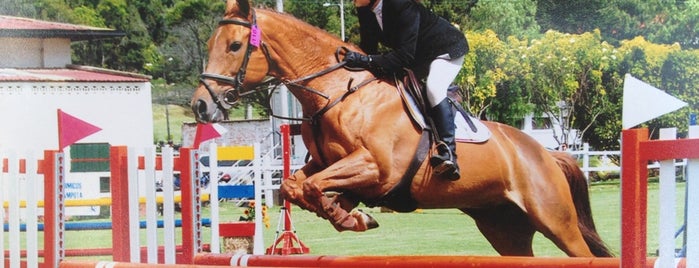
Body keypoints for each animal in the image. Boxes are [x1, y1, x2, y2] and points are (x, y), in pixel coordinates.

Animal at [191, 0, 612, 258]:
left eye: (234, 46)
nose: (201, 105)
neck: (337, 92)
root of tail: (547, 154)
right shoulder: (323, 164)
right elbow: (296, 185)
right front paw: (348, 214)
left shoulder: (375, 167)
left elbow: (310, 187)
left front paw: (349, 215)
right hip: (504, 226)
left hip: (555, 219)